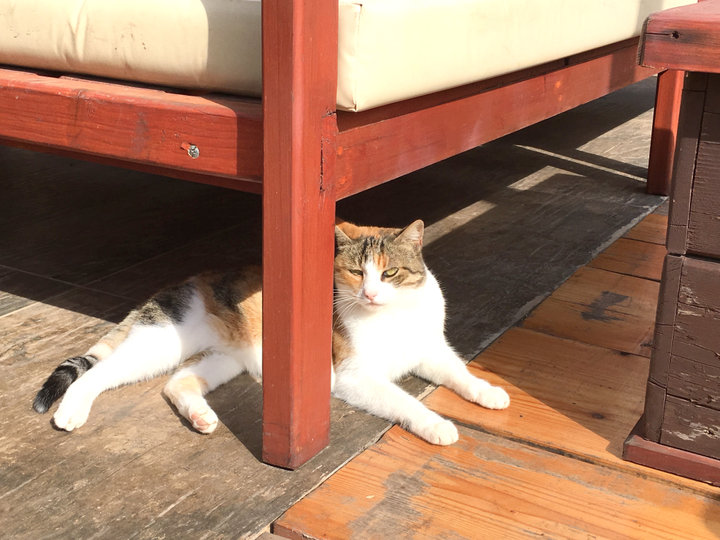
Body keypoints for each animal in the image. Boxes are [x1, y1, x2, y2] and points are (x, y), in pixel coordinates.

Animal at [33, 219, 509, 445]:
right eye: (356, 273)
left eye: (389, 272)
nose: (371, 293)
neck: (392, 316)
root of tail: (187, 281)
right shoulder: (351, 376)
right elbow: (405, 401)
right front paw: (437, 425)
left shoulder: (429, 350)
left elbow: (459, 372)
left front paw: (488, 392)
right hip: (160, 342)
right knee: (99, 374)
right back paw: (70, 413)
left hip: (225, 357)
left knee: (177, 383)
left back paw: (201, 416)